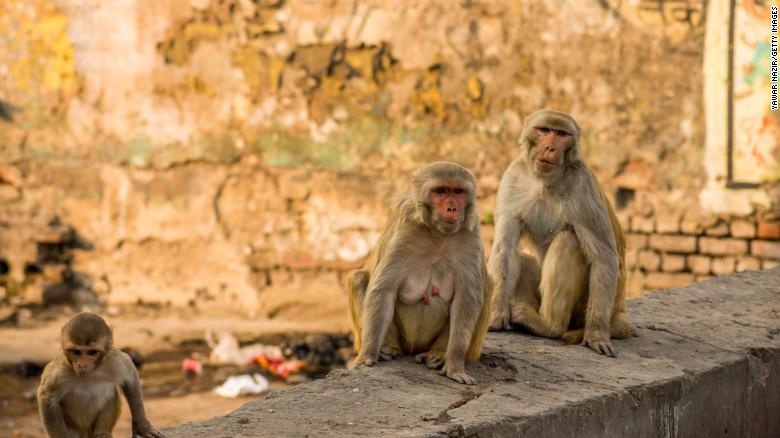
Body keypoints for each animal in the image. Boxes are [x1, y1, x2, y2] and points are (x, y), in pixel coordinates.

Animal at [37, 312, 165, 438]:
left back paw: (102, 433)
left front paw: (141, 426)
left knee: (112, 393)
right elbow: (47, 397)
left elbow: (130, 375)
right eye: (75, 352)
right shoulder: (61, 371)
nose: (82, 365)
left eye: (91, 352)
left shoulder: (114, 360)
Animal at [348, 161, 490, 384]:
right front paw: (367, 355)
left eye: (458, 192)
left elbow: (467, 299)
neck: (438, 235)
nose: (452, 208)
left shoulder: (471, 233)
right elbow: (384, 291)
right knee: (359, 278)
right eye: (441, 191)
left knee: (488, 285)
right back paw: (387, 348)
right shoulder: (404, 229)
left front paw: (454, 365)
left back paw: (438, 353)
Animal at [488, 108, 632, 356]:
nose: (550, 147)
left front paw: (596, 334)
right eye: (544, 130)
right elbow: (504, 249)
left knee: (568, 240)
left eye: (561, 134)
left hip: (583, 308)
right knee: (521, 257)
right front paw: (496, 313)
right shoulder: (513, 177)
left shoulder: (583, 186)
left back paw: (548, 325)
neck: (545, 182)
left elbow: (603, 257)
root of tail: (618, 312)